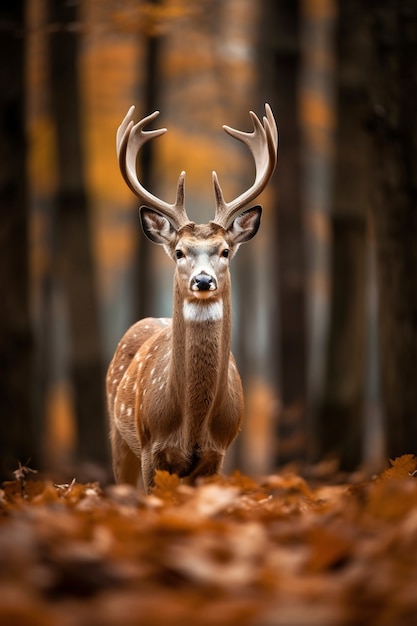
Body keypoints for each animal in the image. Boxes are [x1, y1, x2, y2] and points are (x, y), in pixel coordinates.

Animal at [105, 103, 278, 492]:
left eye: (225, 250)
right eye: (180, 252)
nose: (203, 280)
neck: (192, 425)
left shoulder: (217, 455)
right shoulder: (151, 447)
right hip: (118, 434)